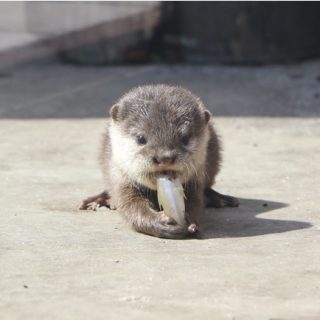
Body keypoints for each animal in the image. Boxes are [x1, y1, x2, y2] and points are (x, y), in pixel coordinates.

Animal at [80, 84, 238, 239]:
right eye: (141, 138)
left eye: (185, 138)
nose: (164, 158)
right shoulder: (120, 178)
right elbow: (131, 206)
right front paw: (159, 222)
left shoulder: (196, 180)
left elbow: (196, 202)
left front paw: (192, 221)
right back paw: (97, 200)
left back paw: (220, 199)